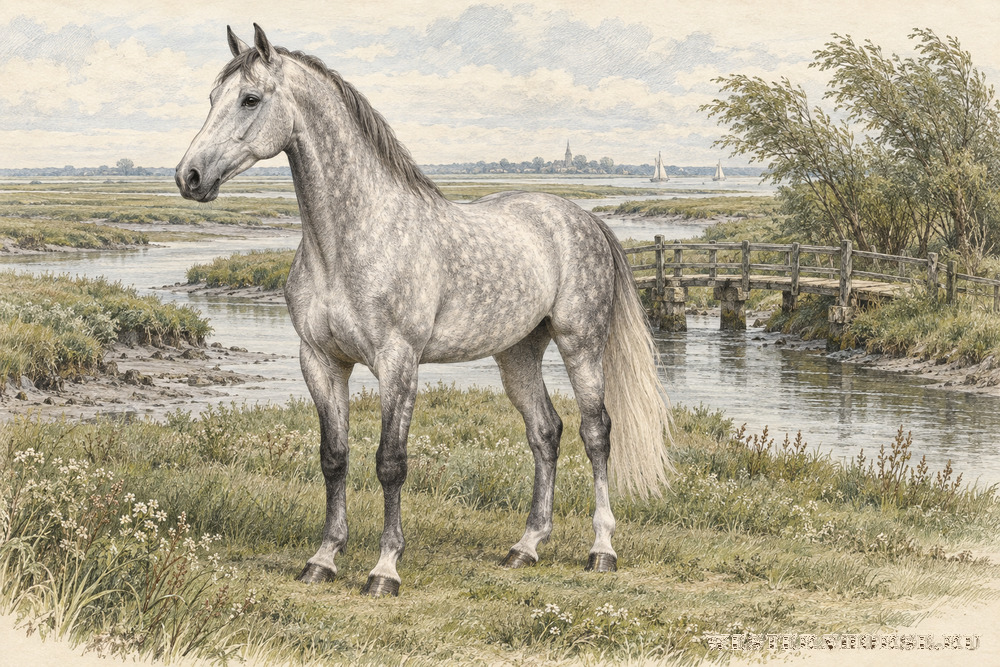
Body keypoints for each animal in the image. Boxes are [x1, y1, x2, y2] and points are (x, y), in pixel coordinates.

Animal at [176, 24, 672, 597]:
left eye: (250, 99)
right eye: (212, 97)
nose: (189, 177)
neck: (349, 241)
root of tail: (583, 218)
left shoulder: (398, 362)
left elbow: (390, 462)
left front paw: (384, 570)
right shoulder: (320, 362)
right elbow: (334, 458)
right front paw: (323, 558)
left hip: (580, 344)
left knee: (597, 433)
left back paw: (601, 550)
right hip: (518, 353)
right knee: (545, 433)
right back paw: (525, 546)